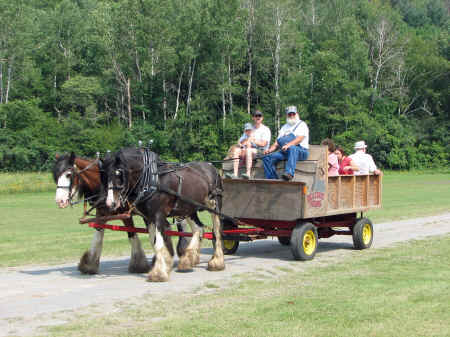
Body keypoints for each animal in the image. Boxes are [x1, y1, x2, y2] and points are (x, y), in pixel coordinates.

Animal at [105, 147, 225, 280]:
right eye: (106, 175)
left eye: (119, 173)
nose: (110, 203)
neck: (153, 181)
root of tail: (211, 167)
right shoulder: (148, 218)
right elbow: (153, 241)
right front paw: (165, 263)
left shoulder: (158, 215)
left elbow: (158, 243)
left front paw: (159, 273)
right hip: (189, 207)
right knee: (198, 228)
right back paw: (187, 261)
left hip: (214, 204)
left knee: (217, 230)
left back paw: (217, 262)